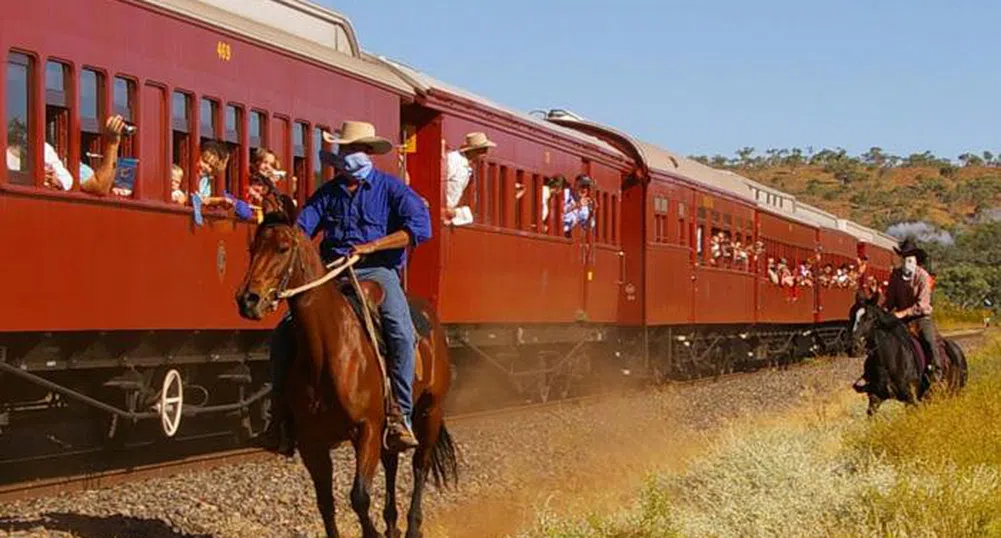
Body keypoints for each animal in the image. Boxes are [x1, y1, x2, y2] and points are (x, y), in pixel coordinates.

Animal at [234, 193, 458, 536]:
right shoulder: (312, 441)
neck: (328, 351)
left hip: (430, 411)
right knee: (392, 462)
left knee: (419, 465)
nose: (248, 299)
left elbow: (359, 497)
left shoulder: (367, 429)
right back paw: (391, 524)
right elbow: (326, 503)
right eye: (252, 248)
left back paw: (411, 526)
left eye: (283, 248)